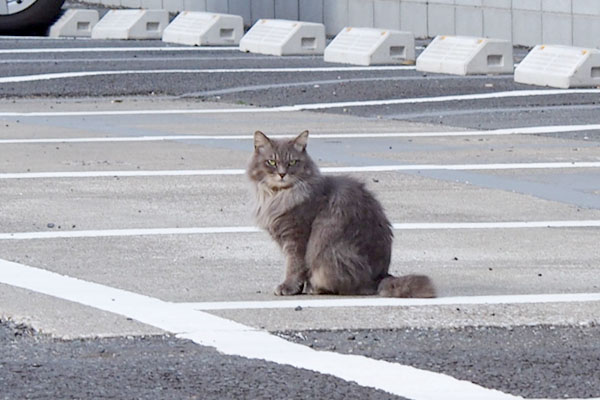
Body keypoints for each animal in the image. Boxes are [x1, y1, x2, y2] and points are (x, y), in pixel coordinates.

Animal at [246, 130, 434, 298]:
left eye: (292, 162)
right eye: (271, 161)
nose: (282, 174)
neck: (276, 196)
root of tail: (381, 276)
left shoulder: (297, 238)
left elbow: (294, 267)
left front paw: (288, 287)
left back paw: (317, 288)